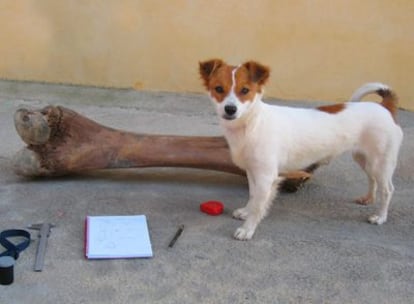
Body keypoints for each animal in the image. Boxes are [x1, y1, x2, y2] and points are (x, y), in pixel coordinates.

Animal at [199, 58, 402, 240]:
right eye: (219, 89)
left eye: (245, 90)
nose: (230, 109)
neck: (252, 124)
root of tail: (384, 108)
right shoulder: (252, 171)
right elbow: (253, 195)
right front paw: (246, 212)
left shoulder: (266, 176)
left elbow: (258, 204)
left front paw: (247, 229)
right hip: (364, 159)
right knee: (372, 179)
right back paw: (368, 199)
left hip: (380, 162)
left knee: (388, 190)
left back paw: (381, 217)